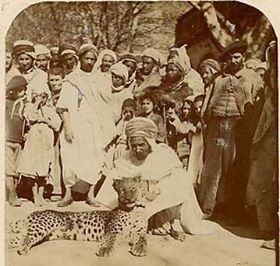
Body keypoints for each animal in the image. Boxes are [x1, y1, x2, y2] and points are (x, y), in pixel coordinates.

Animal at [8, 176, 149, 256]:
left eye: (133, 188)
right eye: (123, 190)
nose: (128, 198)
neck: (134, 210)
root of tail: (33, 213)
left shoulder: (140, 231)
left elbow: (143, 239)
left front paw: (140, 248)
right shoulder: (112, 230)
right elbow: (110, 239)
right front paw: (105, 249)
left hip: (39, 233)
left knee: (18, 238)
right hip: (43, 227)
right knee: (27, 239)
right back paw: (23, 249)